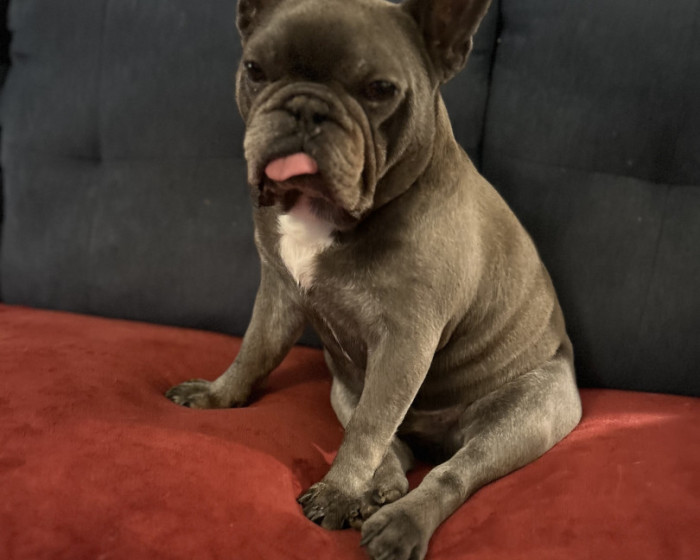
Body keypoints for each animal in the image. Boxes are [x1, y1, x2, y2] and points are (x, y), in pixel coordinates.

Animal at [166, 0, 582, 558]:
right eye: (255, 69)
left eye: (380, 90)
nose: (305, 109)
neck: (323, 212)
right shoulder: (278, 293)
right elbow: (254, 351)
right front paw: (219, 393)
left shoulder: (405, 340)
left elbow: (368, 427)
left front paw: (339, 493)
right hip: (342, 384)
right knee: (392, 445)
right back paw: (381, 485)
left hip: (530, 413)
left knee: (451, 470)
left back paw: (400, 521)